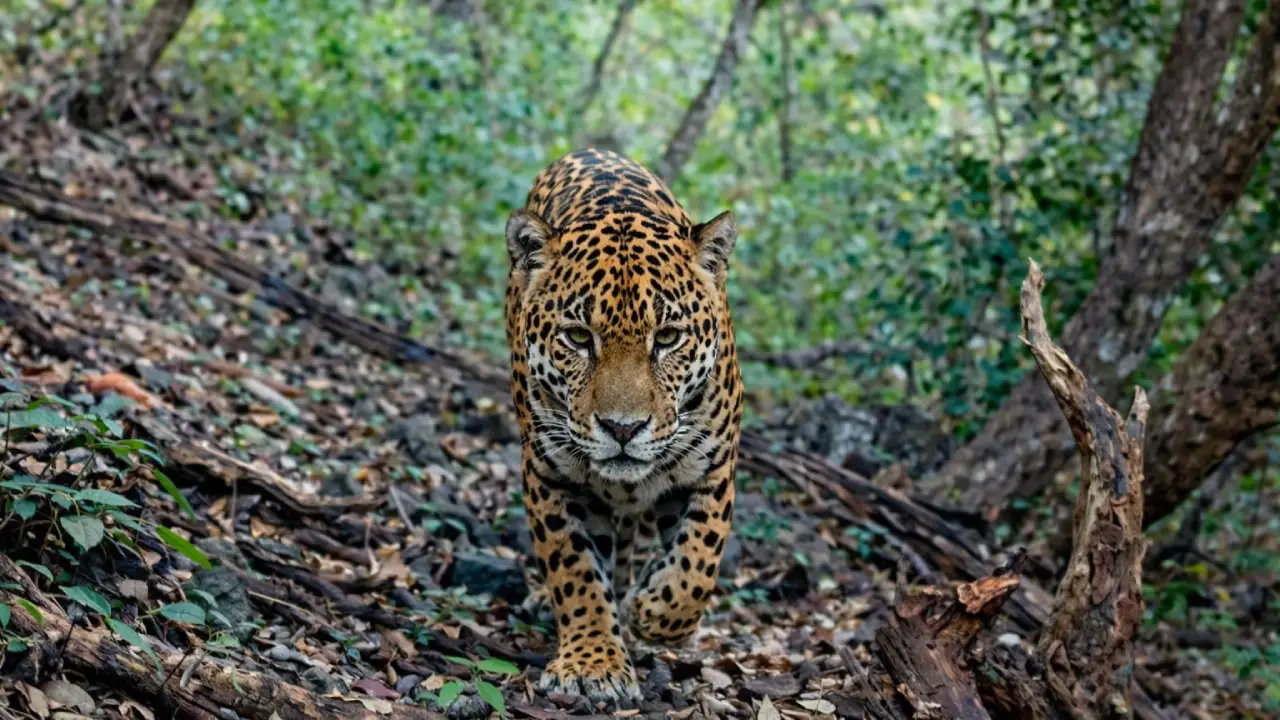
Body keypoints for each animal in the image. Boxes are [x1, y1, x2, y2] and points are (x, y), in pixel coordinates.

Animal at [503, 148, 743, 702]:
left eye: (669, 337)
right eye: (577, 336)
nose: (623, 429)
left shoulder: (715, 468)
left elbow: (699, 562)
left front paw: (653, 611)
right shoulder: (548, 473)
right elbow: (575, 573)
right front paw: (593, 663)